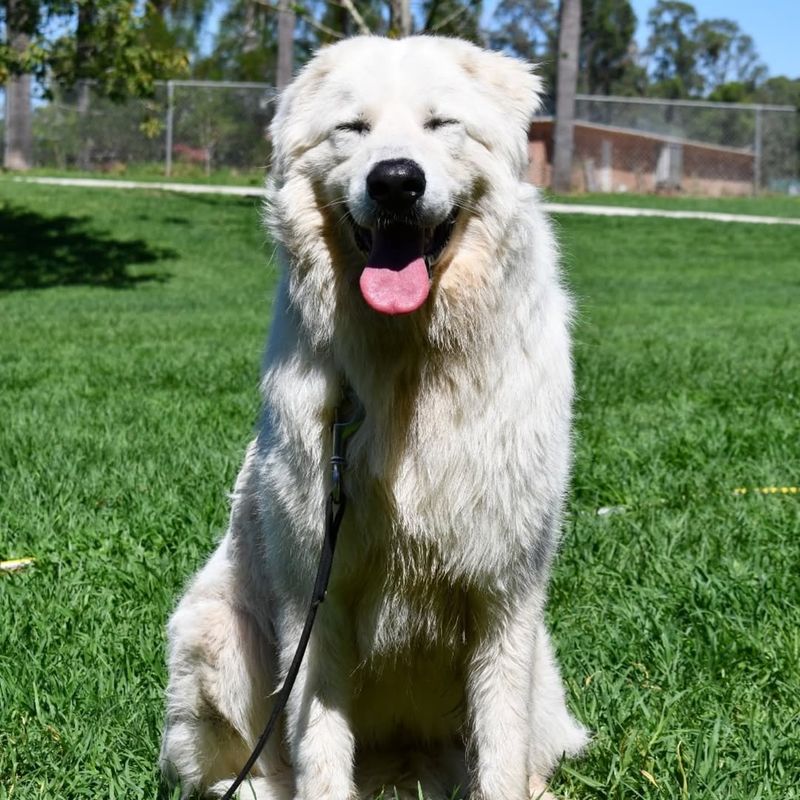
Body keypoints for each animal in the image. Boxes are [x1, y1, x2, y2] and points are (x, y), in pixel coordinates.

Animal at [162, 34, 588, 796]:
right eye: (353, 129)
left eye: (440, 124)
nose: (395, 181)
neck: (410, 366)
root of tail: (401, 767)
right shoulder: (315, 594)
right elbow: (320, 747)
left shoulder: (506, 597)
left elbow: (500, 746)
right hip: (213, 630)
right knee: (245, 770)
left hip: (542, 668)